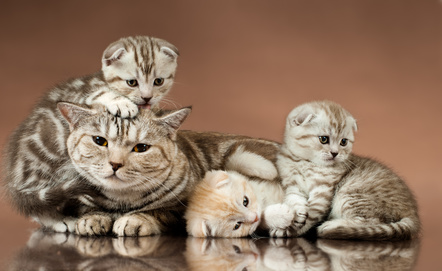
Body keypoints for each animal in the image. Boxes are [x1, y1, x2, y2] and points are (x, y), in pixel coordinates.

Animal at [2, 103, 280, 237]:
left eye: (141, 147)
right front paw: (93, 218)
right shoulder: (74, 192)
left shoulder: (181, 207)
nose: (115, 164)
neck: (121, 200)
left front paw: (135, 220)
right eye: (100, 141)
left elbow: (158, 211)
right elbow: (85, 208)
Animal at [274, 100, 420, 240]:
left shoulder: (323, 192)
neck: (305, 162)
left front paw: (289, 230)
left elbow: (313, 213)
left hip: (351, 193)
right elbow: (294, 200)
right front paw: (296, 215)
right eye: (323, 139)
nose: (335, 153)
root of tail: (412, 213)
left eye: (343, 142)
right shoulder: (293, 186)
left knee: (372, 221)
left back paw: (332, 225)